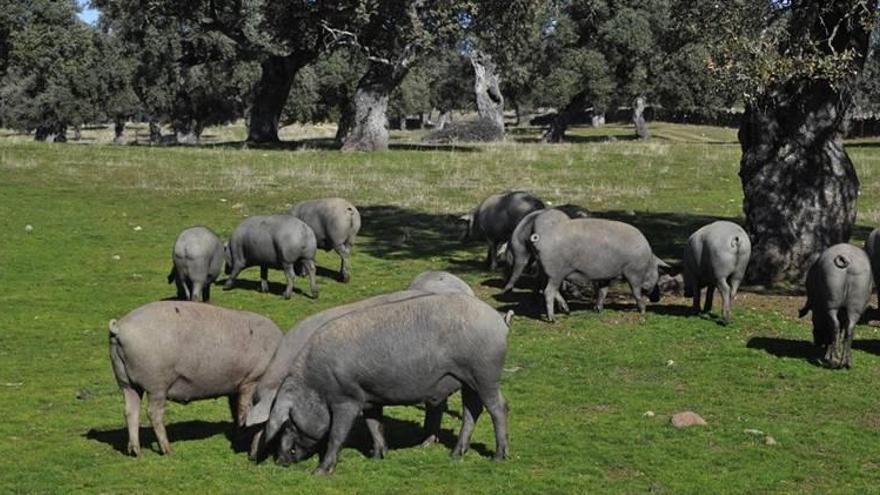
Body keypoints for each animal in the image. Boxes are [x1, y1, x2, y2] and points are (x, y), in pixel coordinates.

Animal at [108, 298, 282, 458]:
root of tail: (119, 327)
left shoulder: (236, 386)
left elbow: (235, 410)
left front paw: (237, 434)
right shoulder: (252, 379)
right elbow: (246, 410)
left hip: (125, 381)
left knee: (130, 410)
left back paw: (135, 452)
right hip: (156, 384)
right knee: (153, 412)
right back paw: (168, 450)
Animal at [258, 292, 512, 474]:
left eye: (289, 422)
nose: (280, 460)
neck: (316, 383)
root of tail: (498, 320)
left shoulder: (347, 399)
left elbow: (336, 435)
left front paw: (320, 471)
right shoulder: (369, 397)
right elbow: (375, 425)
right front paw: (378, 456)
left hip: (485, 373)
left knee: (498, 408)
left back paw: (499, 457)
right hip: (469, 380)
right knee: (472, 410)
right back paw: (456, 454)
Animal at [528, 218, 668, 322]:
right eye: (658, 273)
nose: (657, 298)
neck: (647, 261)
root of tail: (539, 238)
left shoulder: (606, 276)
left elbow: (603, 291)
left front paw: (598, 309)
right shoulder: (633, 273)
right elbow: (636, 292)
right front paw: (643, 310)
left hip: (546, 272)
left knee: (549, 290)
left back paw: (567, 311)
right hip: (556, 273)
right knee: (549, 291)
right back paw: (553, 319)